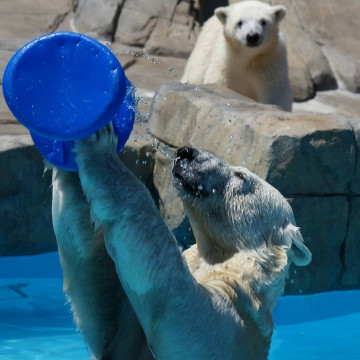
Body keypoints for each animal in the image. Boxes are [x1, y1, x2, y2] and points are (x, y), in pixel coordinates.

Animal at [52, 125, 310, 358]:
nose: (186, 152)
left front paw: (100, 144)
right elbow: (100, 300)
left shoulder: (232, 324)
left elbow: (171, 300)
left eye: (241, 176)